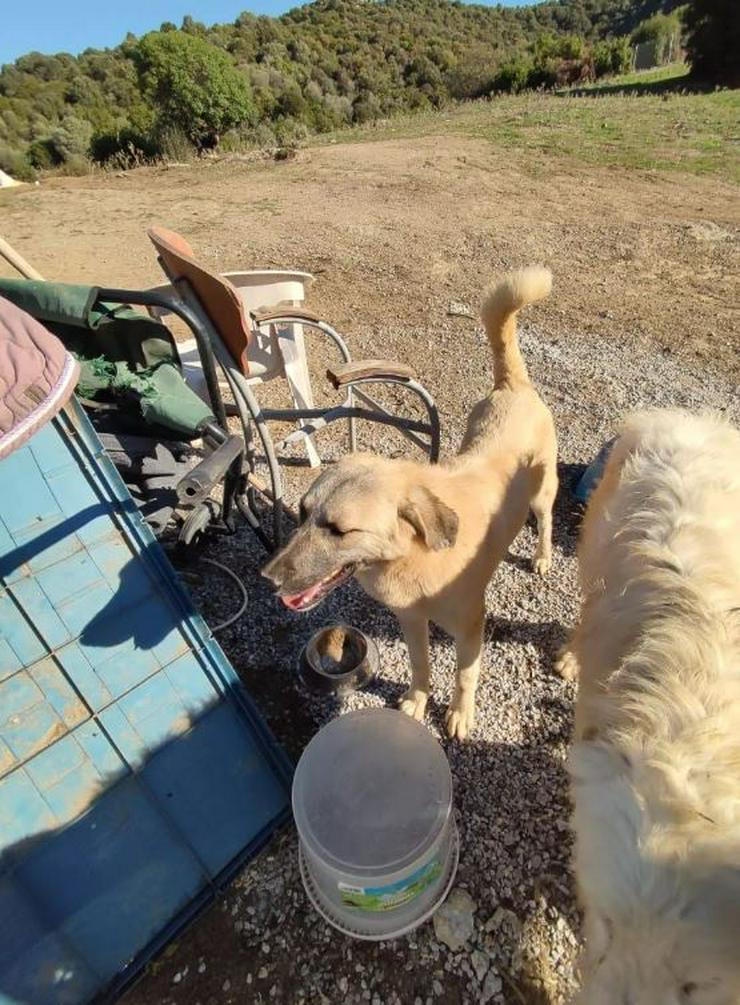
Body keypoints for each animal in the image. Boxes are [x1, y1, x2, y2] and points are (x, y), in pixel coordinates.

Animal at [263, 267, 559, 739]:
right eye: (304, 513)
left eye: (340, 529)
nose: (267, 578)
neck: (413, 557)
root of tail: (512, 386)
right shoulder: (411, 620)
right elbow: (420, 665)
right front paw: (418, 701)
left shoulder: (471, 627)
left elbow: (464, 675)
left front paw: (460, 714)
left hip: (544, 493)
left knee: (546, 521)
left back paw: (543, 557)